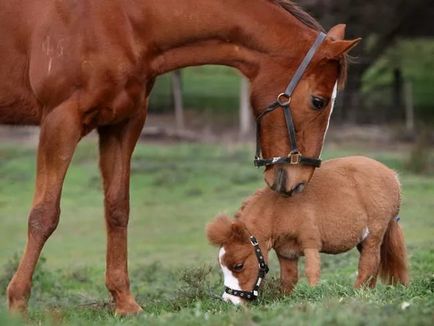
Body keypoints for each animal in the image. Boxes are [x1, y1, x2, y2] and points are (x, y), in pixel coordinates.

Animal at [0, 0, 360, 316]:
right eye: (318, 101)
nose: (298, 182)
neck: (121, 20)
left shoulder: (123, 124)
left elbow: (117, 209)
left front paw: (124, 302)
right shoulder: (61, 121)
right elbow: (44, 215)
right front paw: (18, 303)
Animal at [207, 157, 406, 304]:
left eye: (238, 265)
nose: (229, 301)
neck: (279, 210)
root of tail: (392, 175)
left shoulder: (311, 245)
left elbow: (312, 273)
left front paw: (311, 297)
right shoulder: (286, 253)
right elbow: (288, 280)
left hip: (374, 235)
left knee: (368, 264)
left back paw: (356, 293)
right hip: (363, 241)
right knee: (375, 265)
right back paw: (367, 292)